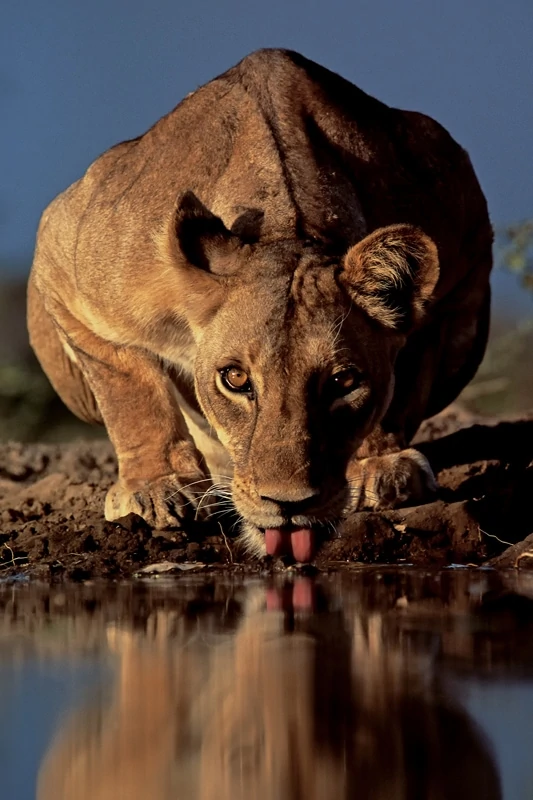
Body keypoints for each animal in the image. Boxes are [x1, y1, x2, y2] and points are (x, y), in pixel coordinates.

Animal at [27, 48, 493, 561]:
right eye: (235, 379)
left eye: (343, 381)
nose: (288, 504)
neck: (284, 225)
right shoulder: (66, 262)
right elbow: (128, 388)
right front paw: (157, 487)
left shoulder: (457, 265)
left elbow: (402, 386)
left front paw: (382, 465)